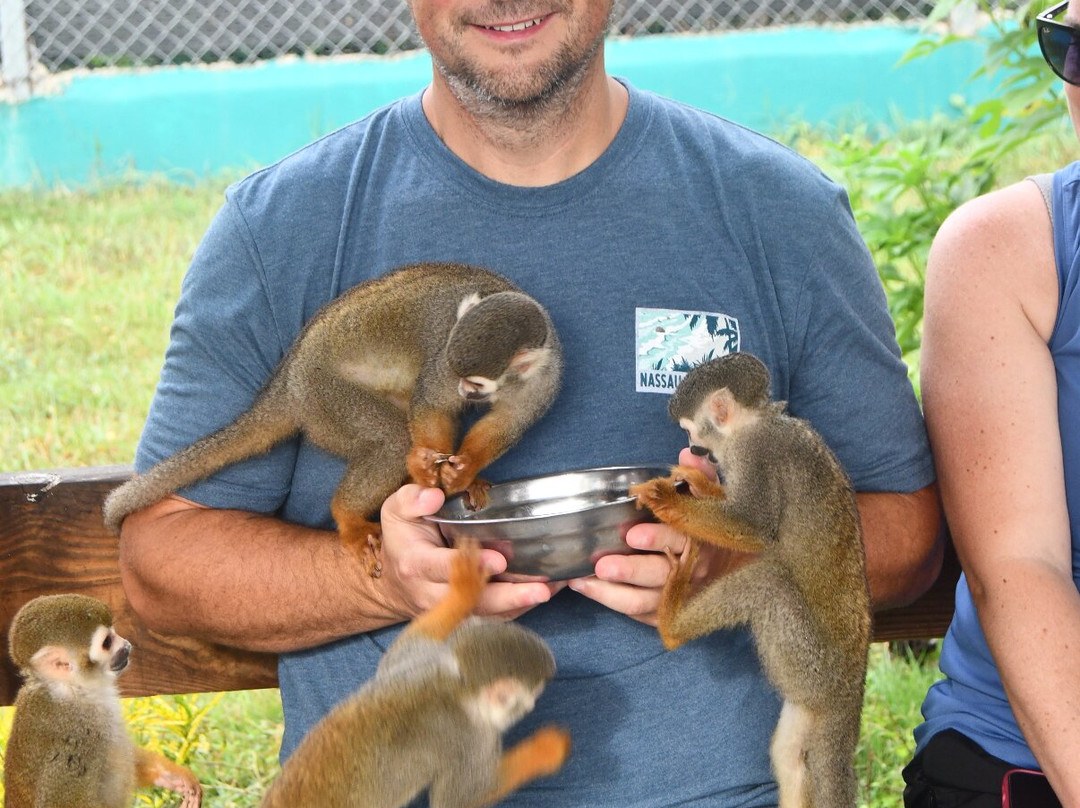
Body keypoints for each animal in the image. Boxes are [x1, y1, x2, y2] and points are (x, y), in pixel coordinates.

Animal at [3, 593, 203, 808]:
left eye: (113, 633)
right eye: (107, 642)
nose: (126, 645)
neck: (74, 691)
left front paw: (171, 776)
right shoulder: (75, 743)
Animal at [102, 261, 562, 577]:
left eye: (477, 383)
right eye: (460, 374)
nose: (465, 391)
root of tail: (289, 379)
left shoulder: (546, 378)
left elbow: (505, 424)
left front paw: (464, 469)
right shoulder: (443, 356)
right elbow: (431, 402)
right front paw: (429, 465)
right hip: (325, 397)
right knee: (392, 439)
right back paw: (353, 511)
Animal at [258, 539, 571, 808]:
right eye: (532, 695)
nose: (531, 706)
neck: (458, 687)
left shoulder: (419, 664)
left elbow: (403, 647)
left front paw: (463, 591)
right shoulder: (470, 738)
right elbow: (459, 798)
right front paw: (546, 749)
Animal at [629, 351, 870, 808]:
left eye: (690, 429)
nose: (695, 448)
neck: (759, 420)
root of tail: (849, 696)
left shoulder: (754, 454)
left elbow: (754, 528)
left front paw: (670, 499)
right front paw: (701, 484)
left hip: (810, 665)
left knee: (769, 583)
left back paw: (672, 624)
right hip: (806, 698)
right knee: (790, 756)